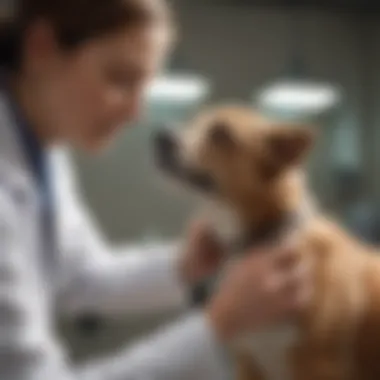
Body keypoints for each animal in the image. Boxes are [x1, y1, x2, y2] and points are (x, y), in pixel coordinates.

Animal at [153, 104, 380, 380]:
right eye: (193, 120)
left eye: (222, 134)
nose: (160, 137)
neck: (265, 238)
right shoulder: (248, 363)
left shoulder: (319, 367)